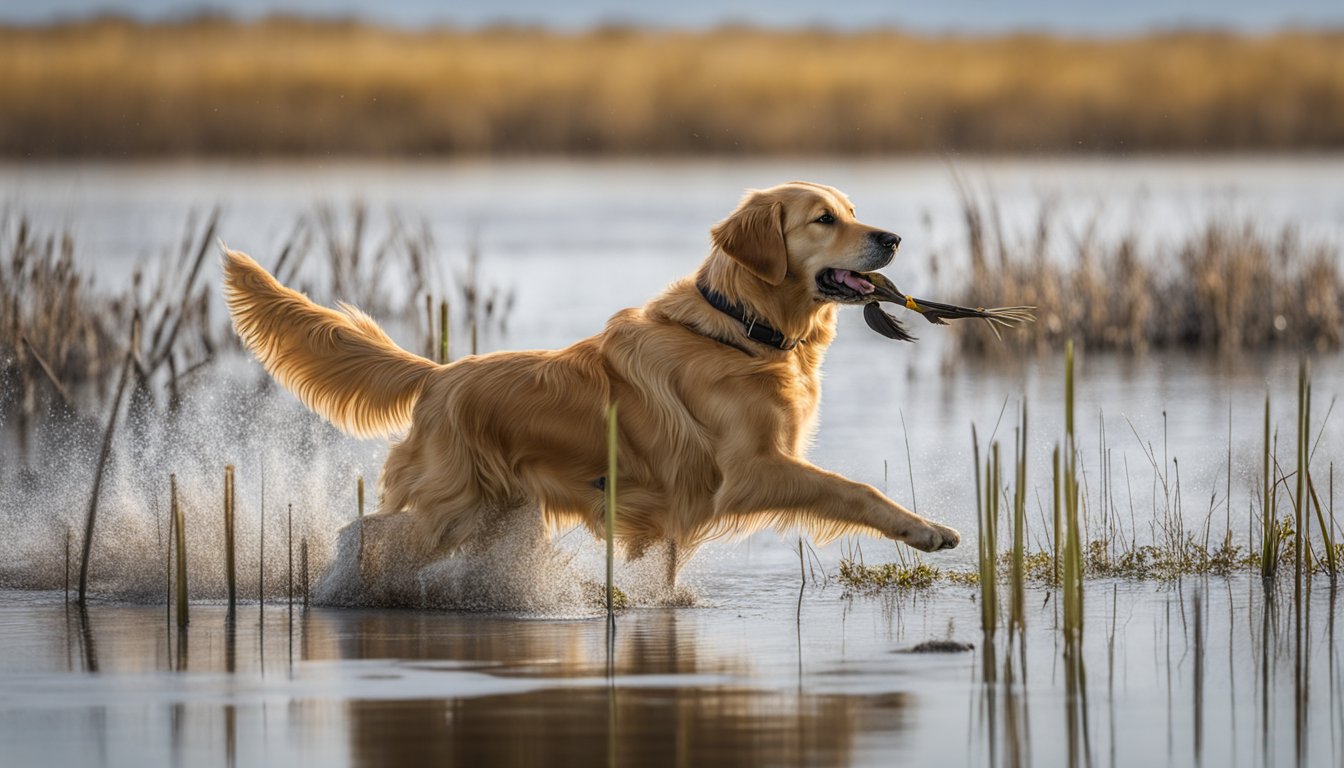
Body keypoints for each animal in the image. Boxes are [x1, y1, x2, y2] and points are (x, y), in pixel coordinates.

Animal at [223, 182, 956, 591]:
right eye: (823, 219)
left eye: (853, 211)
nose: (892, 237)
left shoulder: (665, 517)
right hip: (449, 508)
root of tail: (439, 374)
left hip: (496, 516)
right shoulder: (751, 470)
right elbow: (854, 490)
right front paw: (926, 531)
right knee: (368, 532)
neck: (741, 329)